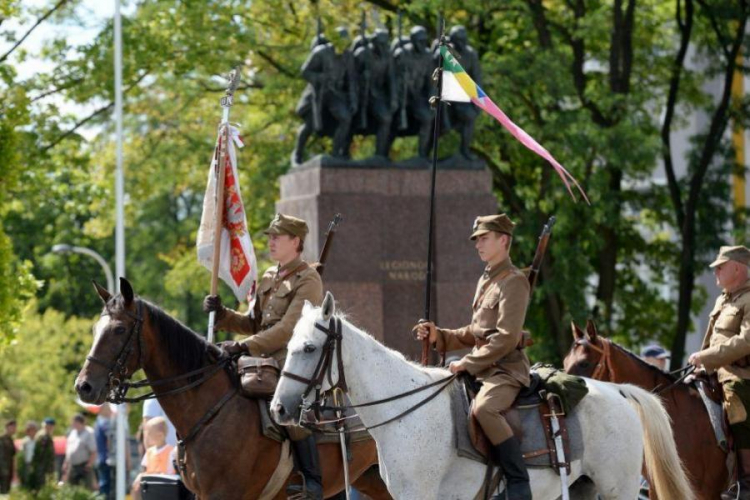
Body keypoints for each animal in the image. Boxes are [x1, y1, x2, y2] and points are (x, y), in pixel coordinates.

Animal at [274, 292, 696, 500]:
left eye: (309, 348)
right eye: (289, 345)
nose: (279, 408)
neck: (406, 412)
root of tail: (619, 391)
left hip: (618, 488)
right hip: (583, 489)